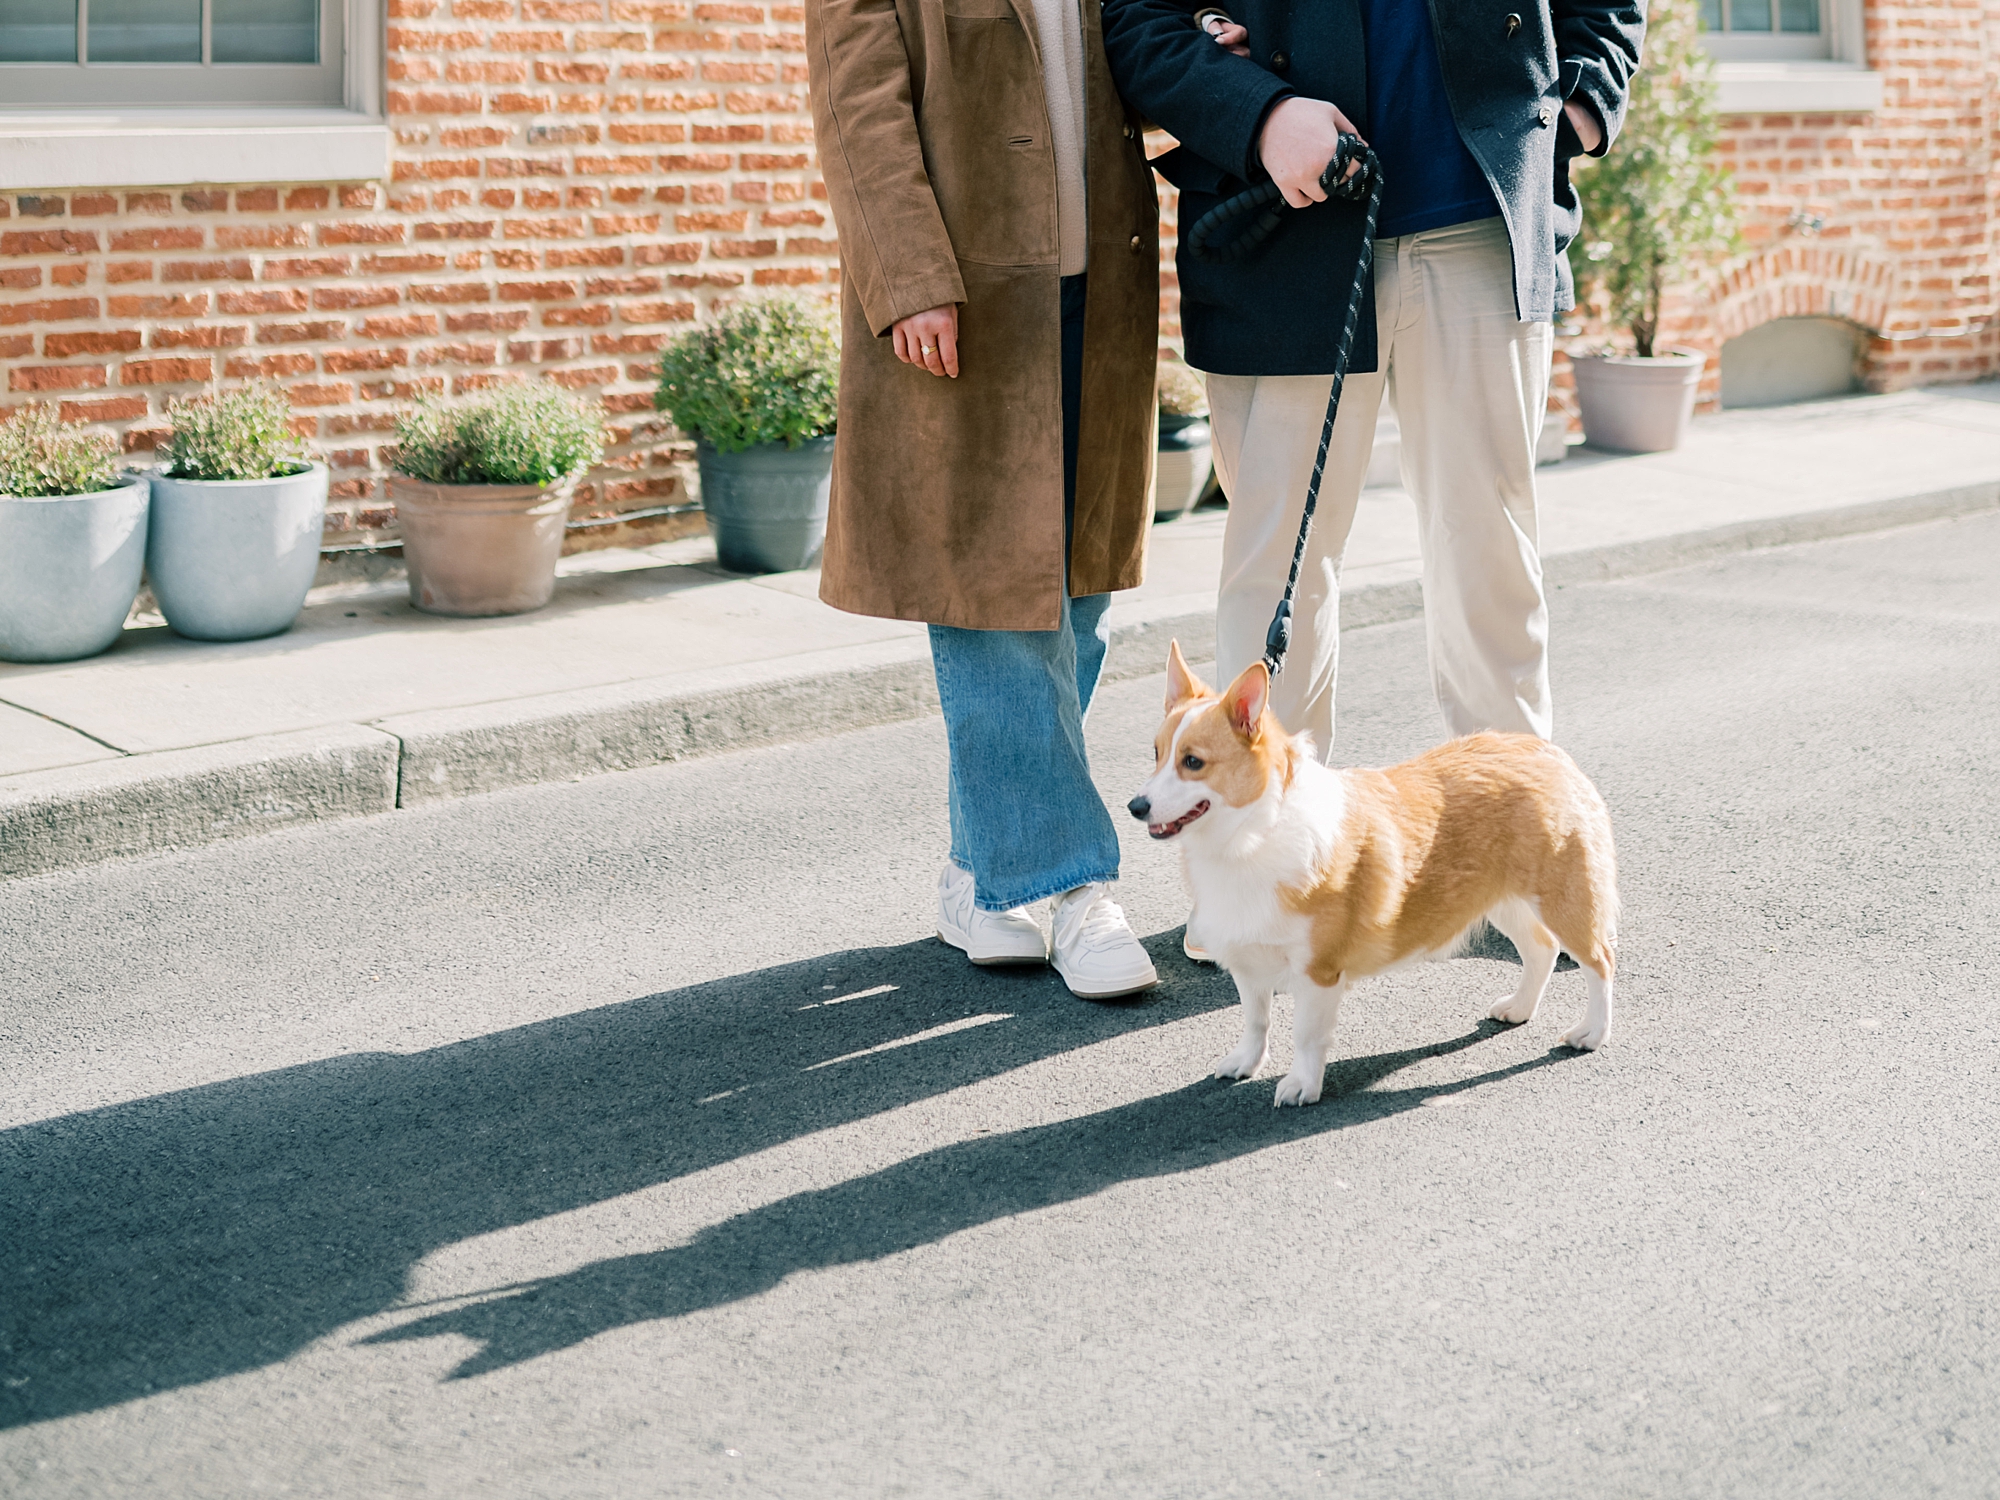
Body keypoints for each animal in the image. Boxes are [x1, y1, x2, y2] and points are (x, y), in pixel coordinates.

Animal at [1136, 640, 1616, 1112]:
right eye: (1156, 754)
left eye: (1193, 762)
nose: (1135, 807)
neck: (1250, 837)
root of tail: (1548, 753)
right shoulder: (1249, 963)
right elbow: (1256, 1021)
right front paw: (1245, 1062)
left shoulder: (1317, 972)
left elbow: (1306, 1036)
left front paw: (1302, 1085)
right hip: (1503, 900)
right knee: (1541, 949)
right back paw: (1519, 1007)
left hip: (1561, 900)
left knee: (1600, 962)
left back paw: (1591, 1032)